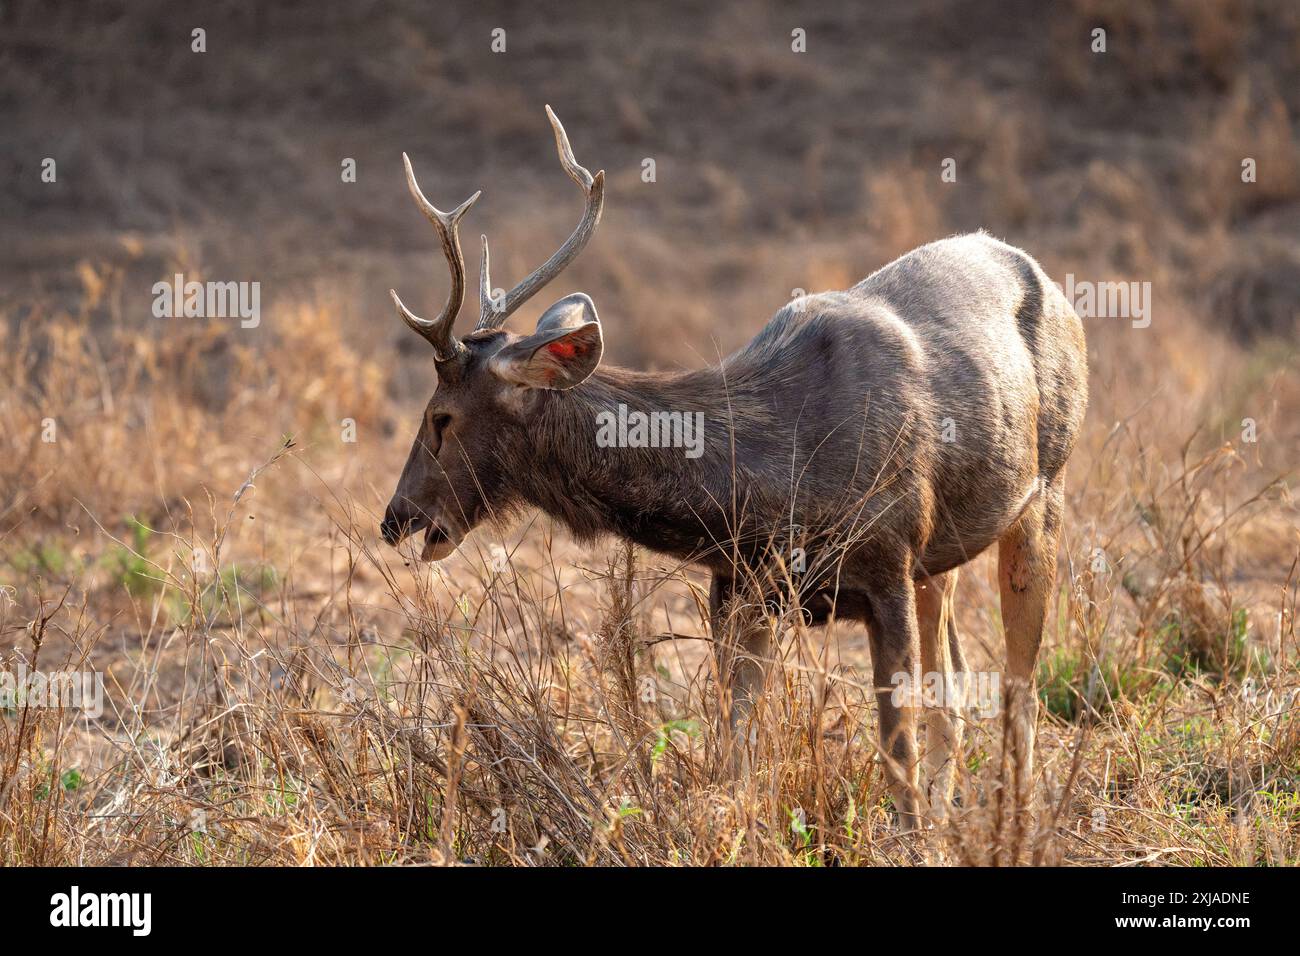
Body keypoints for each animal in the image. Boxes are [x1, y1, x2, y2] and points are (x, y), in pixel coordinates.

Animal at [379, 108, 1086, 832]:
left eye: (440, 416)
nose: (395, 517)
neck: (771, 483)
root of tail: (1049, 282)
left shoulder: (887, 557)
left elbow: (897, 752)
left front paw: (915, 837)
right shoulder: (738, 586)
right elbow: (736, 752)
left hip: (1046, 488)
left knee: (1018, 685)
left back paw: (1018, 819)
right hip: (939, 556)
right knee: (959, 682)